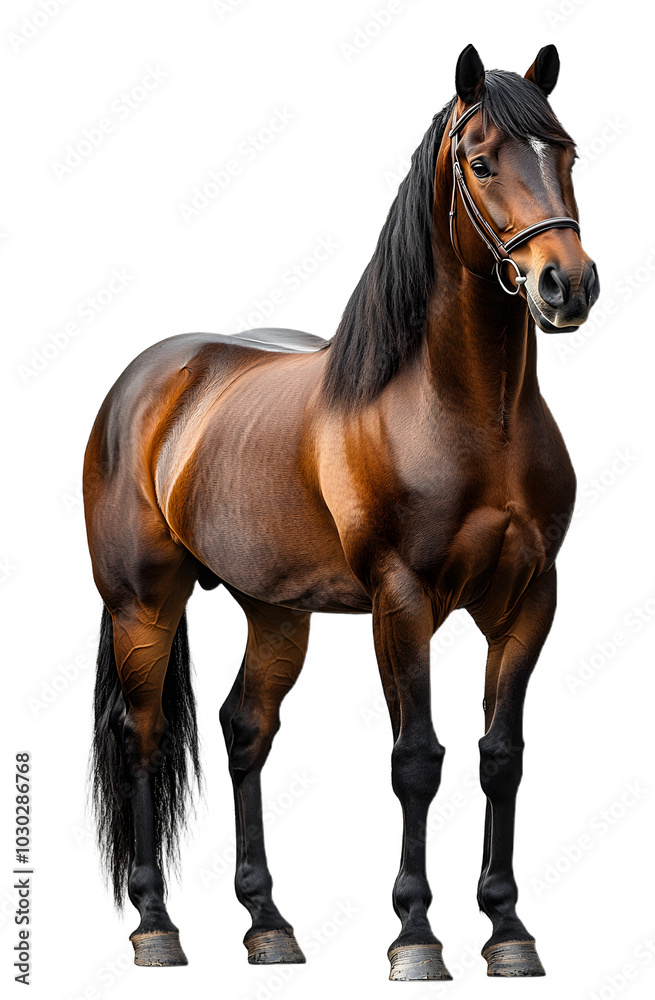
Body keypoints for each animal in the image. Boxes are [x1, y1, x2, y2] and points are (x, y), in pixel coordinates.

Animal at [84, 43, 598, 980]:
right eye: (480, 162)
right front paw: (415, 937)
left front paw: (507, 931)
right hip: (143, 603)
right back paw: (155, 926)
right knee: (140, 735)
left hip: (276, 612)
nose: (565, 286)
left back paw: (268, 924)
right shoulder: (402, 602)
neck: (472, 415)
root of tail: (147, 380)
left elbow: (499, 757)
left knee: (244, 729)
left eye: (566, 154)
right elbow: (416, 760)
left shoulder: (529, 602)